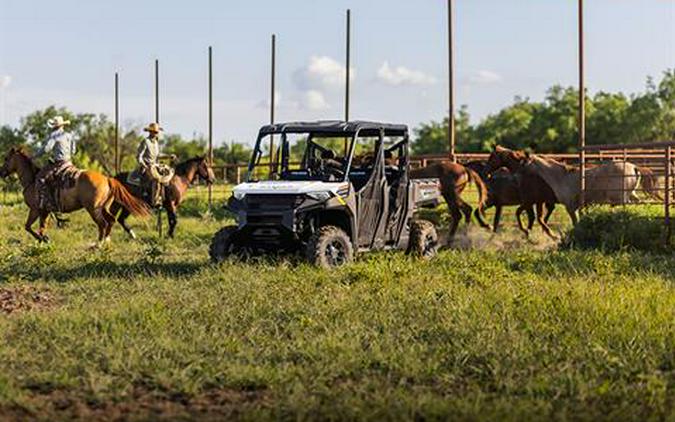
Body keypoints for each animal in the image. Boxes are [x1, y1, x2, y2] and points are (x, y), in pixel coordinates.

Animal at [0, 148, 149, 244]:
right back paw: (106, 241)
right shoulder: (45, 211)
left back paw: (98, 244)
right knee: (111, 220)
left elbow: (28, 226)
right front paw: (43, 240)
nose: (1, 172)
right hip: (104, 207)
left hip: (93, 209)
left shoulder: (35, 209)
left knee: (103, 223)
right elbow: (41, 228)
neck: (32, 180)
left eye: (6, 158)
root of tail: (107, 179)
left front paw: (43, 239)